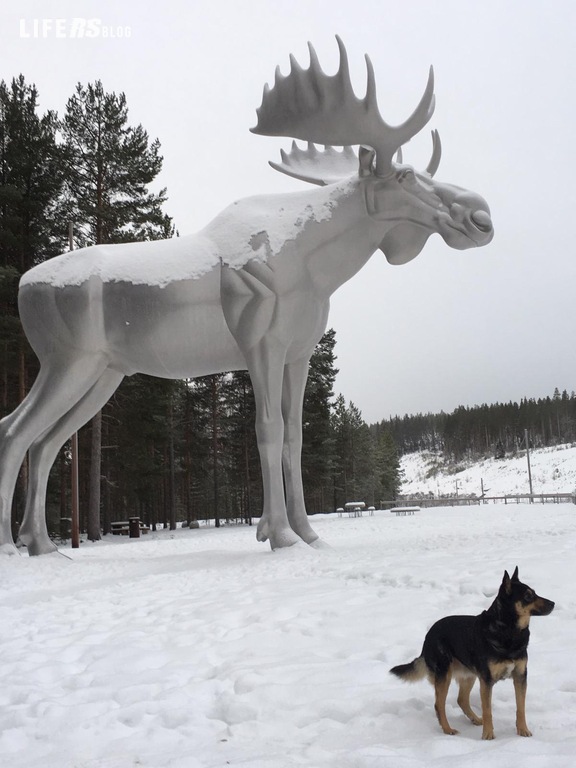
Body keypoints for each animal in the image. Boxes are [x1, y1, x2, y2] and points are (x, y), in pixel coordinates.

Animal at [390, 568, 556, 736]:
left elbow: (520, 708)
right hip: (444, 675)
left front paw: (523, 730)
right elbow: (487, 710)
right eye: (528, 596)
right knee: (439, 704)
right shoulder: (487, 680)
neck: (508, 630)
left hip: (469, 674)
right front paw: (488, 735)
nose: (553, 603)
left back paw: (475, 719)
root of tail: (428, 636)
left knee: (461, 700)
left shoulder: (520, 676)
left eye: (534, 592)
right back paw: (448, 729)